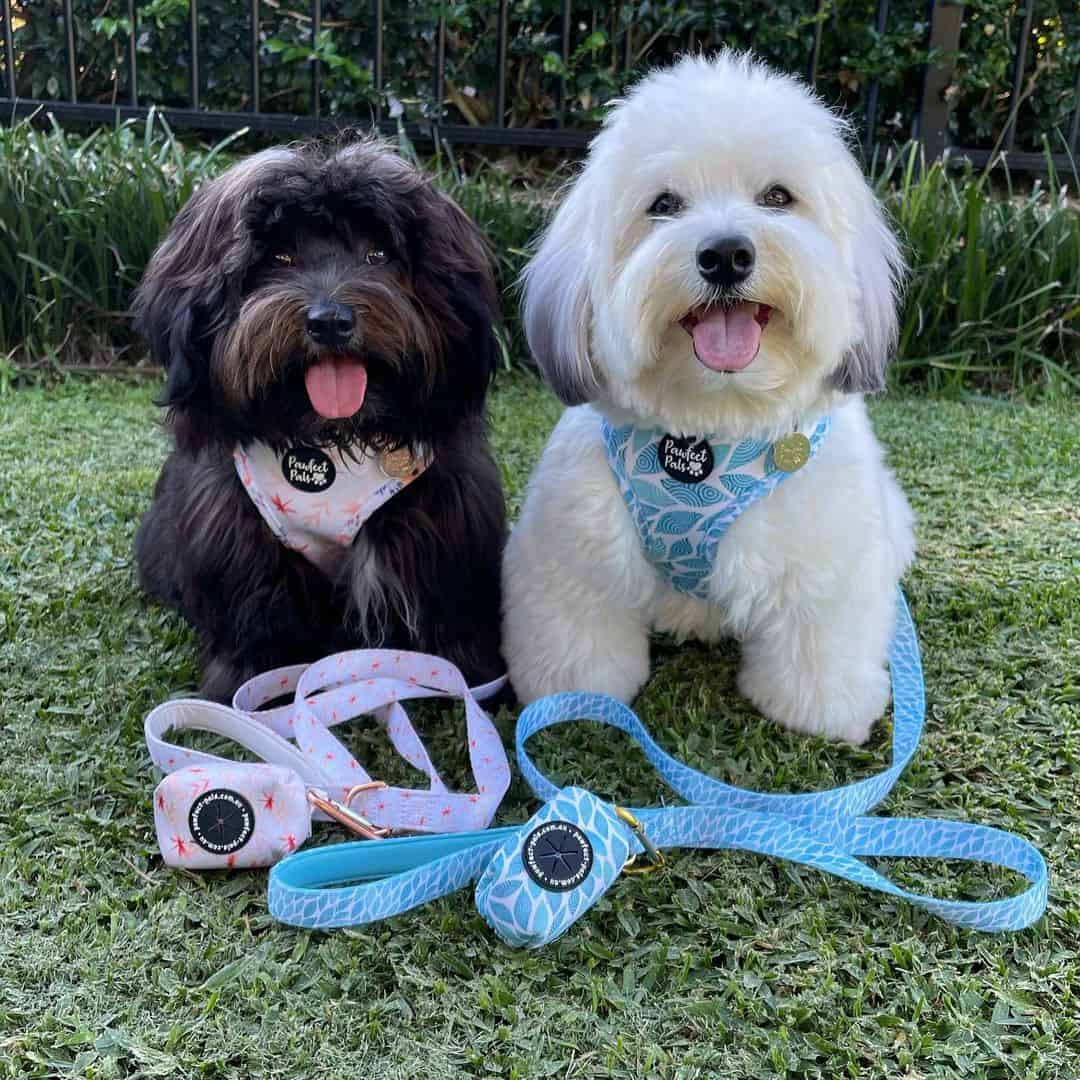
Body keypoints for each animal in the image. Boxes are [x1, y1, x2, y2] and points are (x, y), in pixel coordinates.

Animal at [133, 141, 505, 699]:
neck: (331, 440)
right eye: (279, 258)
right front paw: (241, 688)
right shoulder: (237, 536)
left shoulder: (445, 522)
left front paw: (468, 677)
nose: (330, 322)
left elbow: (451, 608)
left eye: (379, 255)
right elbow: (252, 621)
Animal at [501, 50, 915, 743]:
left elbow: (820, 645)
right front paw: (576, 697)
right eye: (664, 204)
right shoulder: (575, 556)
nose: (725, 253)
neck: (710, 432)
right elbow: (580, 640)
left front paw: (819, 712)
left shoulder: (826, 565)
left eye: (778, 197)